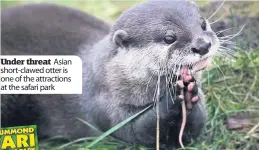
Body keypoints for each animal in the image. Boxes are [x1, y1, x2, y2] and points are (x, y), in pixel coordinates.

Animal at [1, 0, 221, 148]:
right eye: (169, 37)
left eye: (203, 24)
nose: (203, 45)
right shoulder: (103, 104)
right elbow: (135, 131)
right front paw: (172, 99)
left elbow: (194, 130)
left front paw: (190, 94)